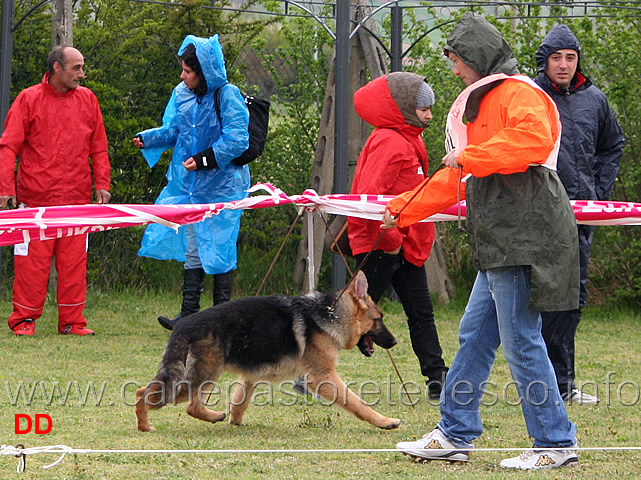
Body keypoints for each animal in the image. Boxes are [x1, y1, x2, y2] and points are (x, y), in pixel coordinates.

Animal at [136, 270, 400, 432]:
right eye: (379, 319)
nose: (395, 341)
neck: (330, 313)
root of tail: (182, 326)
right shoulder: (324, 377)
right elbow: (357, 403)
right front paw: (385, 421)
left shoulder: (251, 376)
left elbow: (239, 402)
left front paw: (235, 422)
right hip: (204, 376)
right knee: (164, 399)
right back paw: (149, 425)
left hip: (200, 376)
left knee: (151, 393)